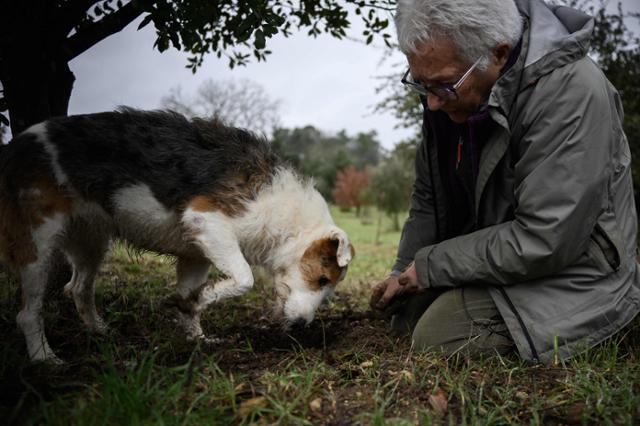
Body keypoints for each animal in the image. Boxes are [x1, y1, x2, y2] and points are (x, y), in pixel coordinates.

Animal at [0, 109, 356, 362]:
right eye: (322, 280)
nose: (301, 326)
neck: (289, 219)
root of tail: (14, 147)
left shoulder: (195, 255)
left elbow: (190, 298)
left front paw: (196, 335)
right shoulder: (207, 221)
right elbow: (244, 279)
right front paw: (202, 302)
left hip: (91, 242)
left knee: (77, 288)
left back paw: (100, 332)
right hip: (38, 244)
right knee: (27, 313)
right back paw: (44, 358)